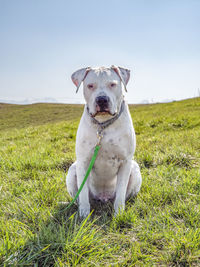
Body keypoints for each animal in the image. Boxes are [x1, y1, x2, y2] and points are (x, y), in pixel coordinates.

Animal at [66, 66, 141, 219]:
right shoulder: (83, 162)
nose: (102, 100)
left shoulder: (125, 162)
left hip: (135, 168)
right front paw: (84, 215)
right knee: (80, 197)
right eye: (90, 86)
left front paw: (119, 214)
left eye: (112, 84)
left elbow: (121, 192)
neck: (103, 125)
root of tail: (103, 197)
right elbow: (83, 194)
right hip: (72, 170)